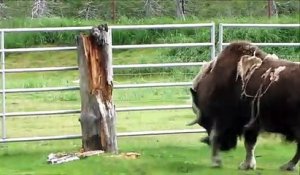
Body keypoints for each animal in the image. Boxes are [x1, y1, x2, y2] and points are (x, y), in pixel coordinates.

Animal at [189, 40, 300, 170]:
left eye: (203, 122)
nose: (225, 147)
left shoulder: (222, 118)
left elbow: (215, 136)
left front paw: (217, 161)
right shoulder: (251, 123)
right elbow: (250, 144)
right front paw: (248, 165)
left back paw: (288, 165)